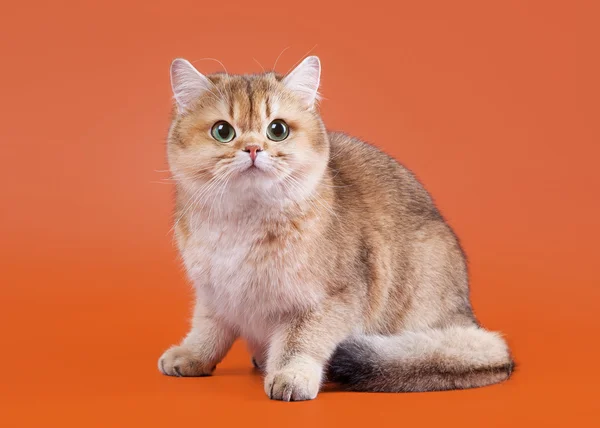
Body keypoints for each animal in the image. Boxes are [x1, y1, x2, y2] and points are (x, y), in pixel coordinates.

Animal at [157, 56, 512, 402]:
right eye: (222, 131)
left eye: (277, 130)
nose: (254, 149)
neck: (241, 224)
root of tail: (468, 314)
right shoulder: (214, 293)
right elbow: (208, 329)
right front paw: (192, 355)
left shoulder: (329, 300)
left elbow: (299, 342)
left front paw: (291, 375)